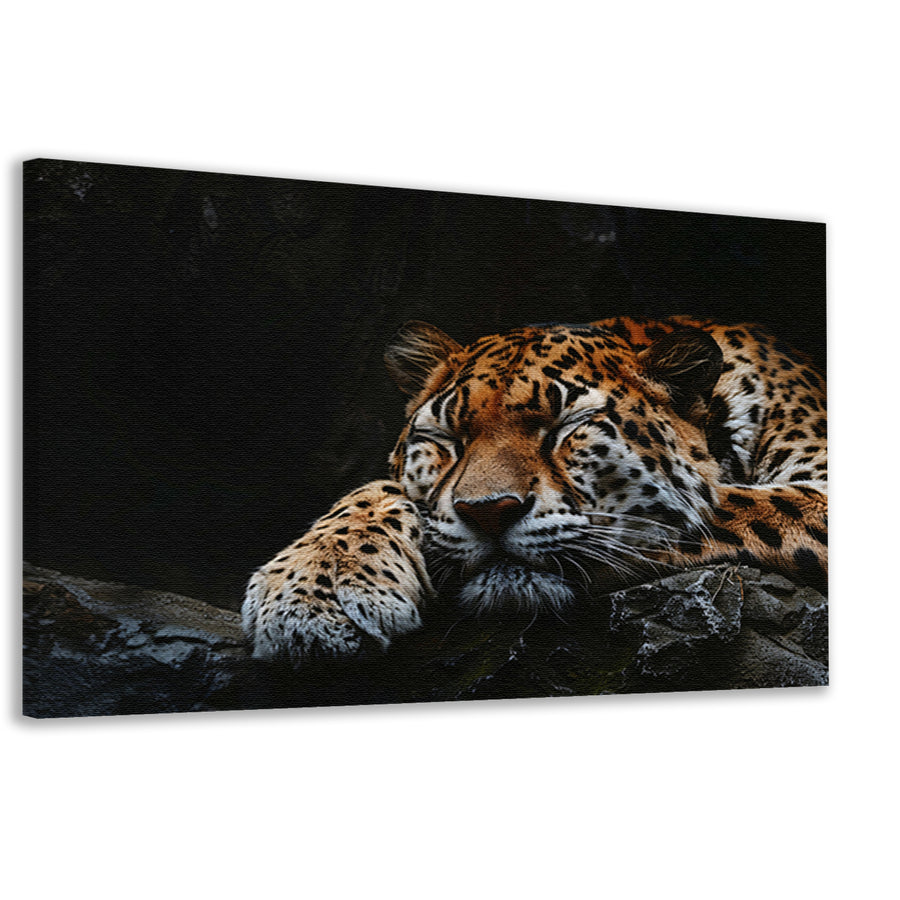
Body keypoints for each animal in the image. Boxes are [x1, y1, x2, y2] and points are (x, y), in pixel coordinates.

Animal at [242, 316, 827, 664]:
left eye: (565, 428)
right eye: (448, 439)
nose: (488, 512)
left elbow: (701, 509)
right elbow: (383, 489)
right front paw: (308, 588)